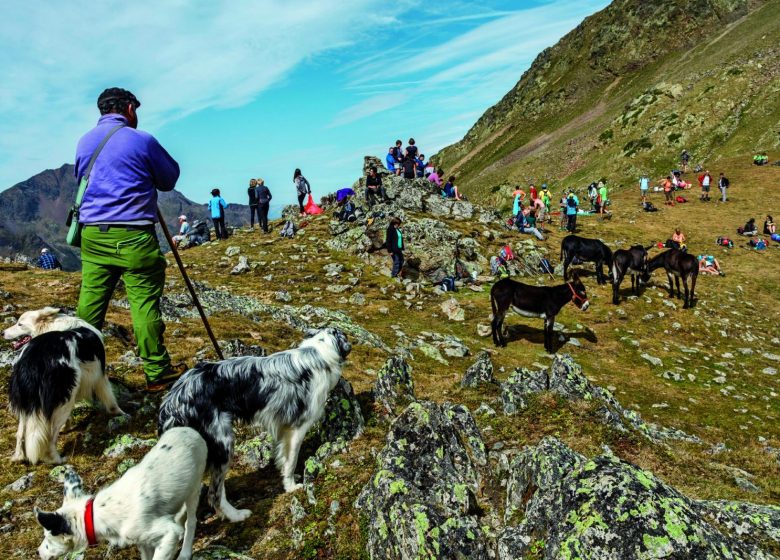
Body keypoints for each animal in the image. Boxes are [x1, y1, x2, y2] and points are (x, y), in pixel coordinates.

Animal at [3, 306, 124, 464]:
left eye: (20, 324)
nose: (2, 333)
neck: (53, 324)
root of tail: (34, 361)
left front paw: (67, 427)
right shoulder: (100, 376)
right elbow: (110, 399)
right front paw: (121, 414)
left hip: (26, 401)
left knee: (20, 433)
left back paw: (18, 457)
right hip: (65, 398)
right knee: (50, 437)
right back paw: (57, 460)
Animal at [34, 426, 207, 556]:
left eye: (47, 537)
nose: (37, 552)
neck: (96, 515)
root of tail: (189, 429)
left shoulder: (167, 534)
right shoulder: (144, 542)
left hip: (194, 488)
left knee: (191, 521)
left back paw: (185, 553)